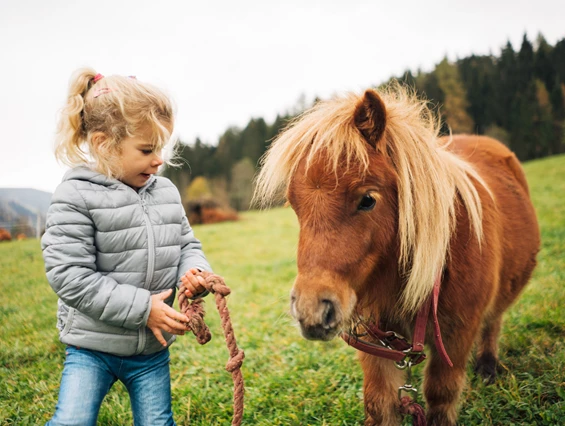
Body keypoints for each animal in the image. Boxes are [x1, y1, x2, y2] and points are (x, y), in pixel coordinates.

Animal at [253, 84, 540, 426]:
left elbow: (441, 397)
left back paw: (487, 366)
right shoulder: (378, 345)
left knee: (493, 321)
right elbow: (381, 403)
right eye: (294, 205)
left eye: (367, 199)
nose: (312, 311)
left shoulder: (456, 338)